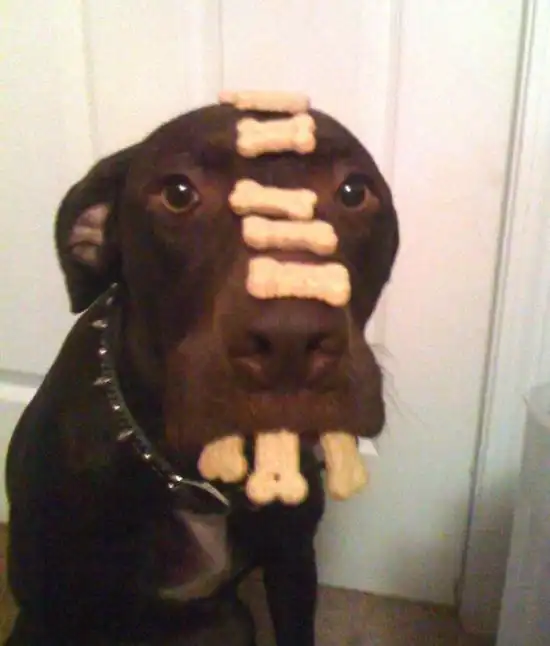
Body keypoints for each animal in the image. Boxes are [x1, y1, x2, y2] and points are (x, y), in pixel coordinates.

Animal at [4, 102, 399, 645]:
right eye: (177, 193)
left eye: (354, 191)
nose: (290, 338)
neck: (190, 476)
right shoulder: (55, 613)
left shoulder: (294, 563)